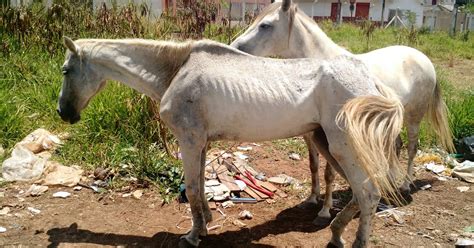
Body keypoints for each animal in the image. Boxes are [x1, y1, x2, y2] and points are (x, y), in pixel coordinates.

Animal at [56, 35, 404, 247]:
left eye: (65, 70)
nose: (63, 112)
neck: (176, 70)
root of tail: (370, 80)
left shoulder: (190, 141)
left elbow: (192, 188)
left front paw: (192, 235)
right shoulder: (201, 143)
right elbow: (198, 185)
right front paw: (205, 223)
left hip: (342, 147)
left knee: (369, 193)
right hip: (326, 143)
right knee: (362, 193)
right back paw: (335, 233)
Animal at [231, 0, 454, 215]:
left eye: (265, 25)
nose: (234, 47)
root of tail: (423, 58)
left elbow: (329, 173)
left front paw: (325, 209)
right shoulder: (309, 135)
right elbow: (313, 166)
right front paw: (312, 198)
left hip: (413, 117)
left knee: (412, 148)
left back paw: (405, 185)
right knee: (395, 145)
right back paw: (388, 182)